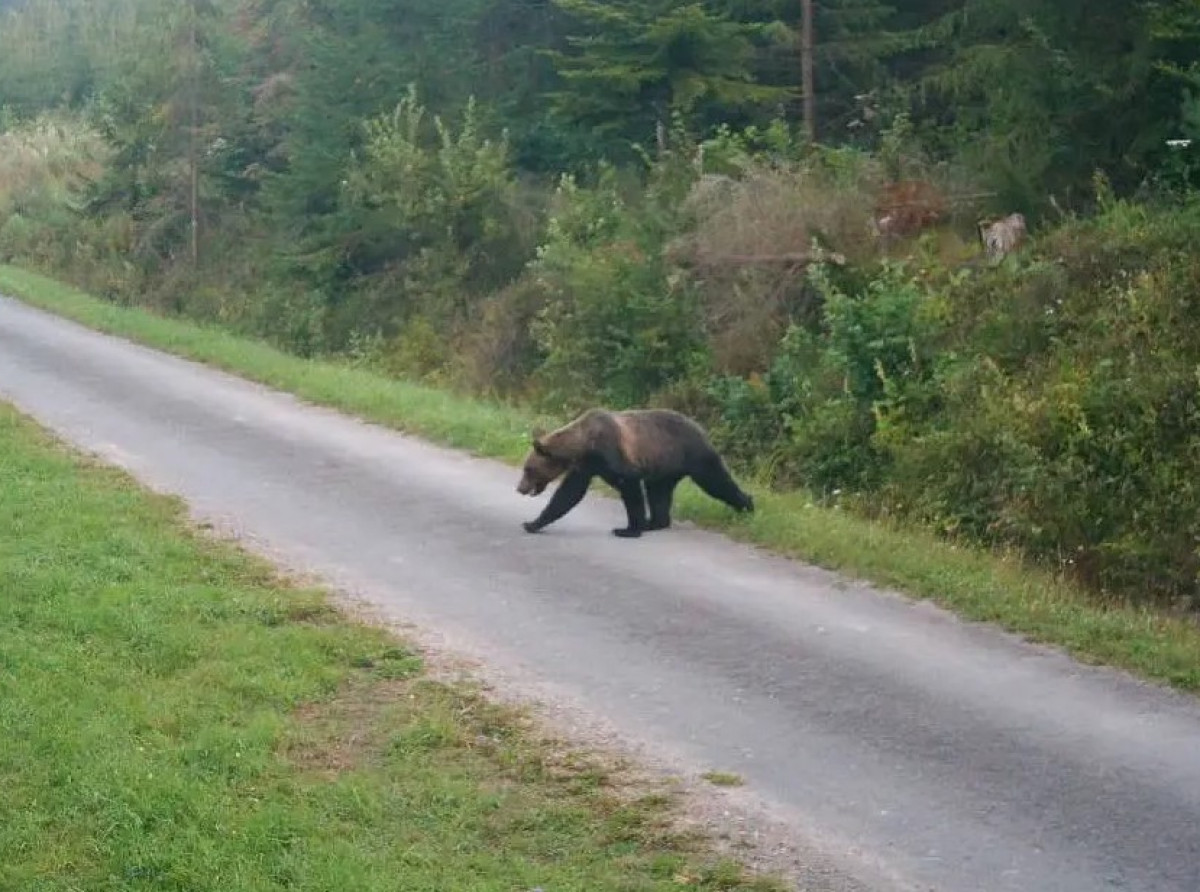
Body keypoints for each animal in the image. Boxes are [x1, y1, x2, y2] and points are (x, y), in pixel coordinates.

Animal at [513, 410, 748, 537]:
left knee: (716, 481)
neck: (584, 445)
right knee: (659, 494)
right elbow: (567, 495)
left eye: (528, 469)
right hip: (664, 468)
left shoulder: (612, 454)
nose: (520, 488)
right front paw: (532, 523)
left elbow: (630, 486)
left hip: (693, 453)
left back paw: (747, 506)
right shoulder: (586, 467)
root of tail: (700, 426)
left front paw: (629, 529)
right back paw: (656, 522)